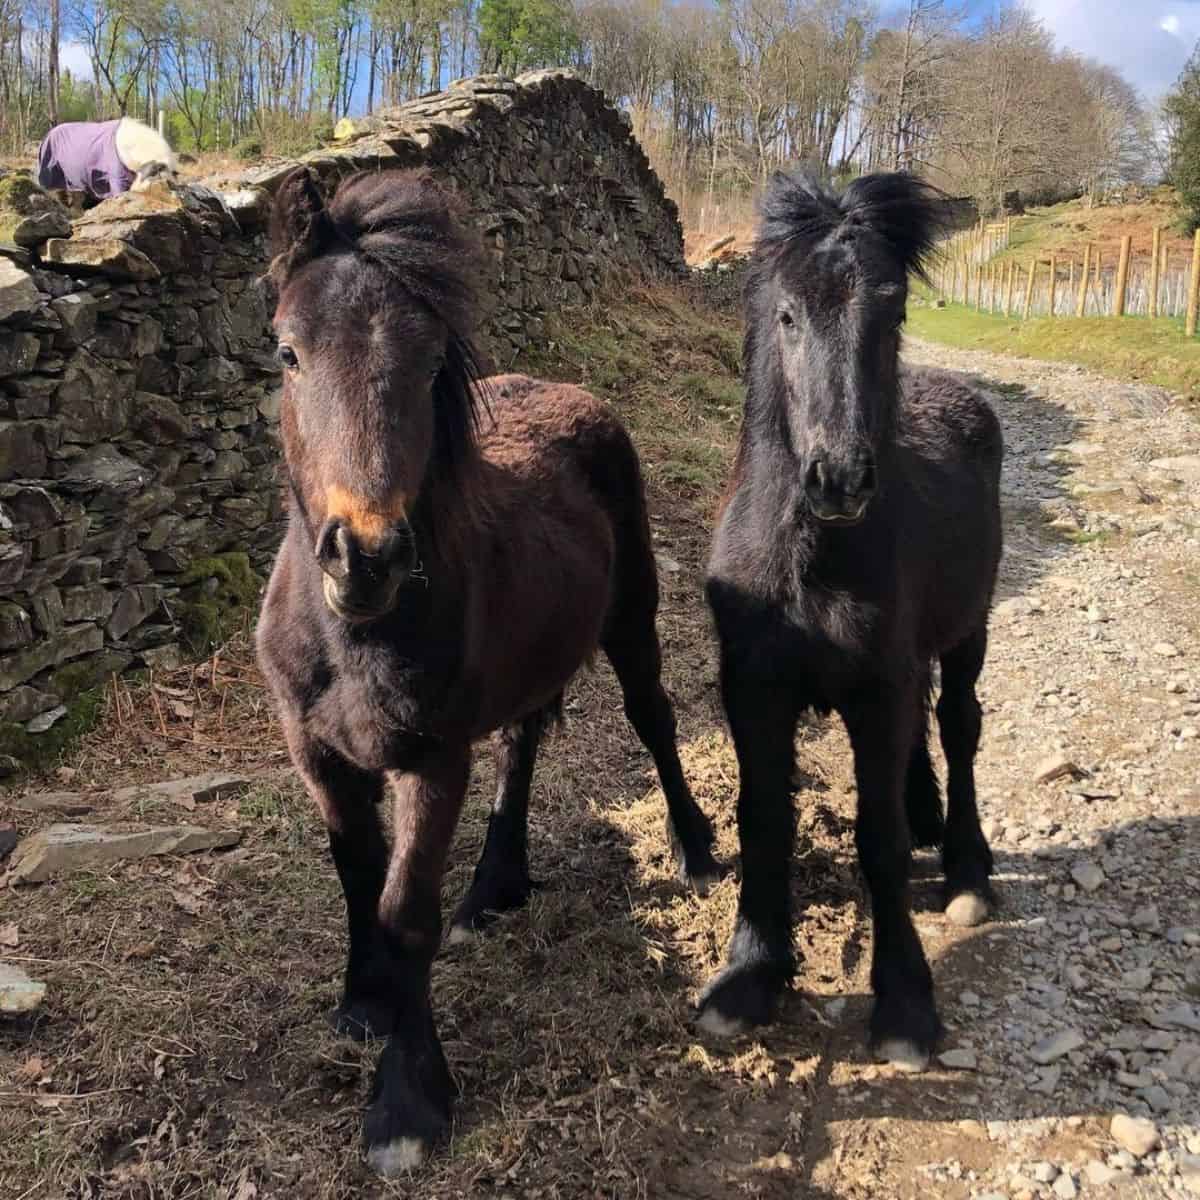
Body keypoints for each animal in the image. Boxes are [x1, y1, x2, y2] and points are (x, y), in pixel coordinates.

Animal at [254, 169, 715, 1171]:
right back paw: (497, 884)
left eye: (433, 364)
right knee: (522, 743)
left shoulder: (430, 761)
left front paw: (406, 1104)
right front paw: (361, 1002)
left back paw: (697, 848)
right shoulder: (318, 755)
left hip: (632, 623)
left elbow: (406, 910)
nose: (365, 557)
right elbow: (356, 876)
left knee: (653, 720)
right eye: (288, 352)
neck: (352, 640)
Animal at [700, 171, 1008, 1070]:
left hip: (969, 630)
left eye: (894, 311)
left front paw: (904, 1002)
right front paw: (749, 977)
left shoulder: (879, 690)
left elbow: (879, 841)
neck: (810, 561)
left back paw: (966, 869)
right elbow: (763, 818)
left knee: (959, 724)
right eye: (786, 315)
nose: (838, 479)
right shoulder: (754, 690)